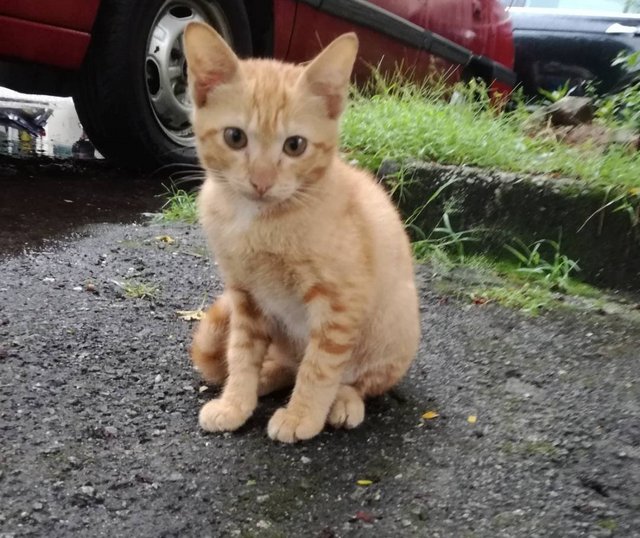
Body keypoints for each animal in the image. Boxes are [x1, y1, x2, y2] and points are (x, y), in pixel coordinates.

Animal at [184, 22, 420, 440]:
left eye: (295, 145)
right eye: (235, 137)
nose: (261, 181)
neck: (258, 221)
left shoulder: (341, 301)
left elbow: (320, 366)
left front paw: (302, 416)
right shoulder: (246, 296)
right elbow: (240, 353)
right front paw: (236, 403)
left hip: (395, 327)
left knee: (357, 380)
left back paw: (343, 401)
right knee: (285, 364)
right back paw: (264, 377)